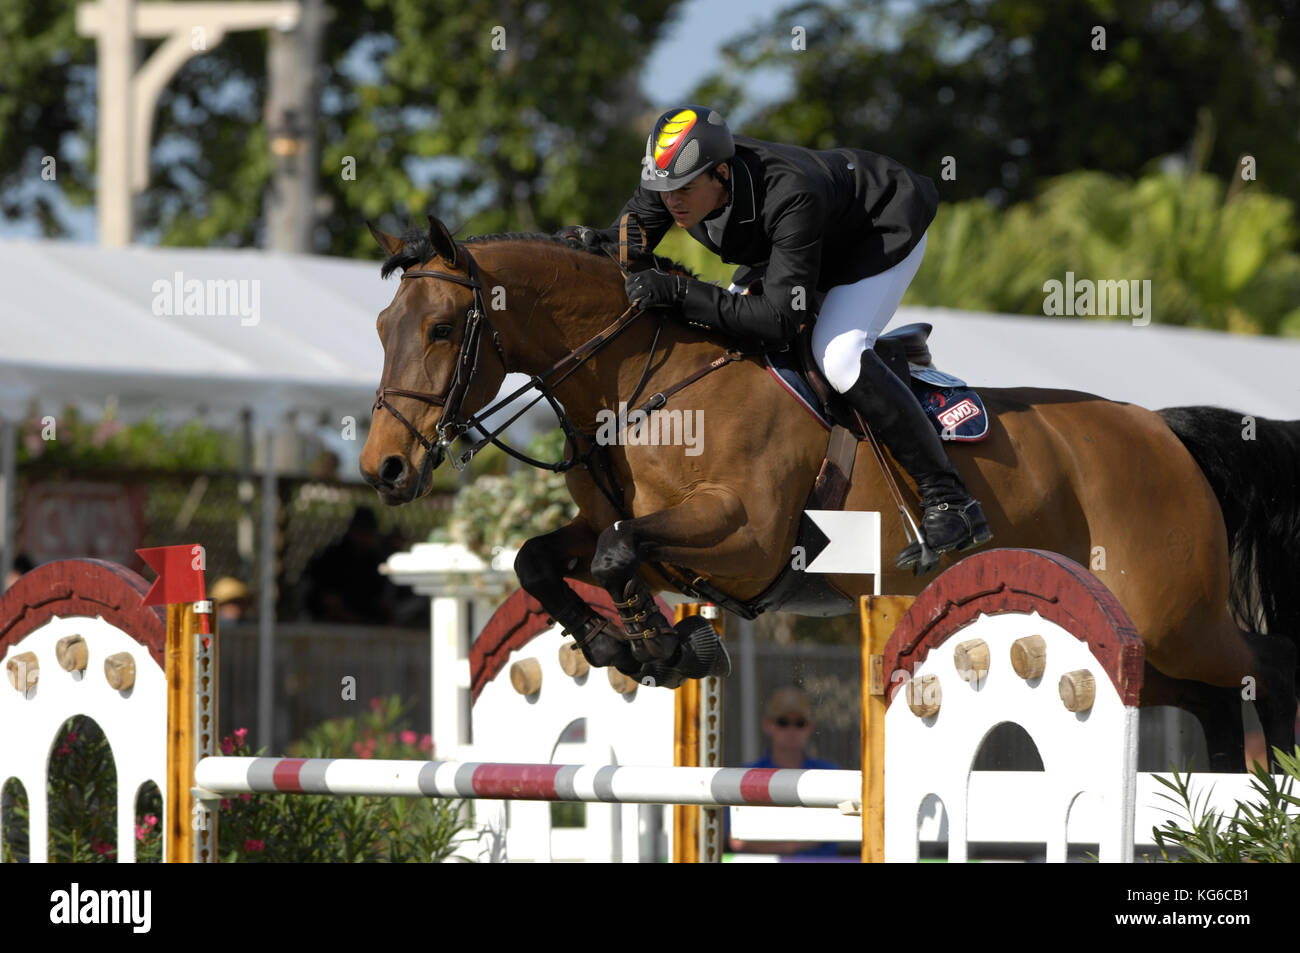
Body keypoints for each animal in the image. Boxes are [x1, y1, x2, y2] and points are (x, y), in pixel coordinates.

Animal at [361, 213, 1300, 764]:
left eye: (441, 328)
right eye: (381, 327)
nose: (384, 467)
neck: (648, 381)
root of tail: (1164, 430)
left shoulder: (745, 536)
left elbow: (618, 552)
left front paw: (670, 649)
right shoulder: (657, 544)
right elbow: (546, 558)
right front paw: (618, 645)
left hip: (1176, 619)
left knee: (1267, 668)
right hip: (1147, 644)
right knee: (1220, 701)